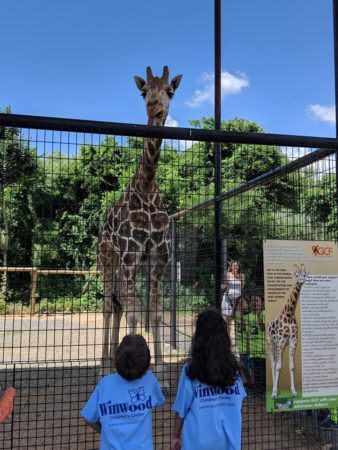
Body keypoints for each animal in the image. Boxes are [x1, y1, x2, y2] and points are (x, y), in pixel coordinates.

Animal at [97, 66, 182, 380]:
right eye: (143, 92)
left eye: (170, 90)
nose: (154, 106)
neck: (146, 187)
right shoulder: (130, 255)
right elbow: (135, 313)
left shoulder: (157, 257)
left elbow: (154, 313)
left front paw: (161, 375)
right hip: (107, 258)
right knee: (108, 306)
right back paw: (103, 368)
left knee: (118, 305)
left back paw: (110, 362)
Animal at [266, 264, 308, 398]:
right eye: (296, 274)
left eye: (304, 273)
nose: (301, 281)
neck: (289, 315)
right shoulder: (281, 341)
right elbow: (279, 366)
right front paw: (274, 393)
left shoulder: (293, 341)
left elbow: (291, 366)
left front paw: (294, 391)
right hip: (270, 343)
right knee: (273, 363)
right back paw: (274, 390)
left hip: (275, 345)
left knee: (275, 362)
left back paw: (277, 389)